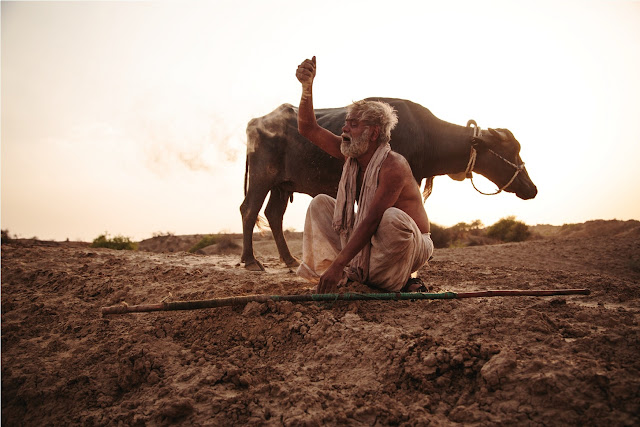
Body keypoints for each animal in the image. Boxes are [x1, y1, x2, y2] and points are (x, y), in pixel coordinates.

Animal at [240, 97, 536, 270]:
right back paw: (251, 260)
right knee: (249, 210)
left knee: (273, 214)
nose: (531, 188)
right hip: (262, 177)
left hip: (283, 185)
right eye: (510, 149)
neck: (427, 136)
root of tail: (256, 122)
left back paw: (289, 259)